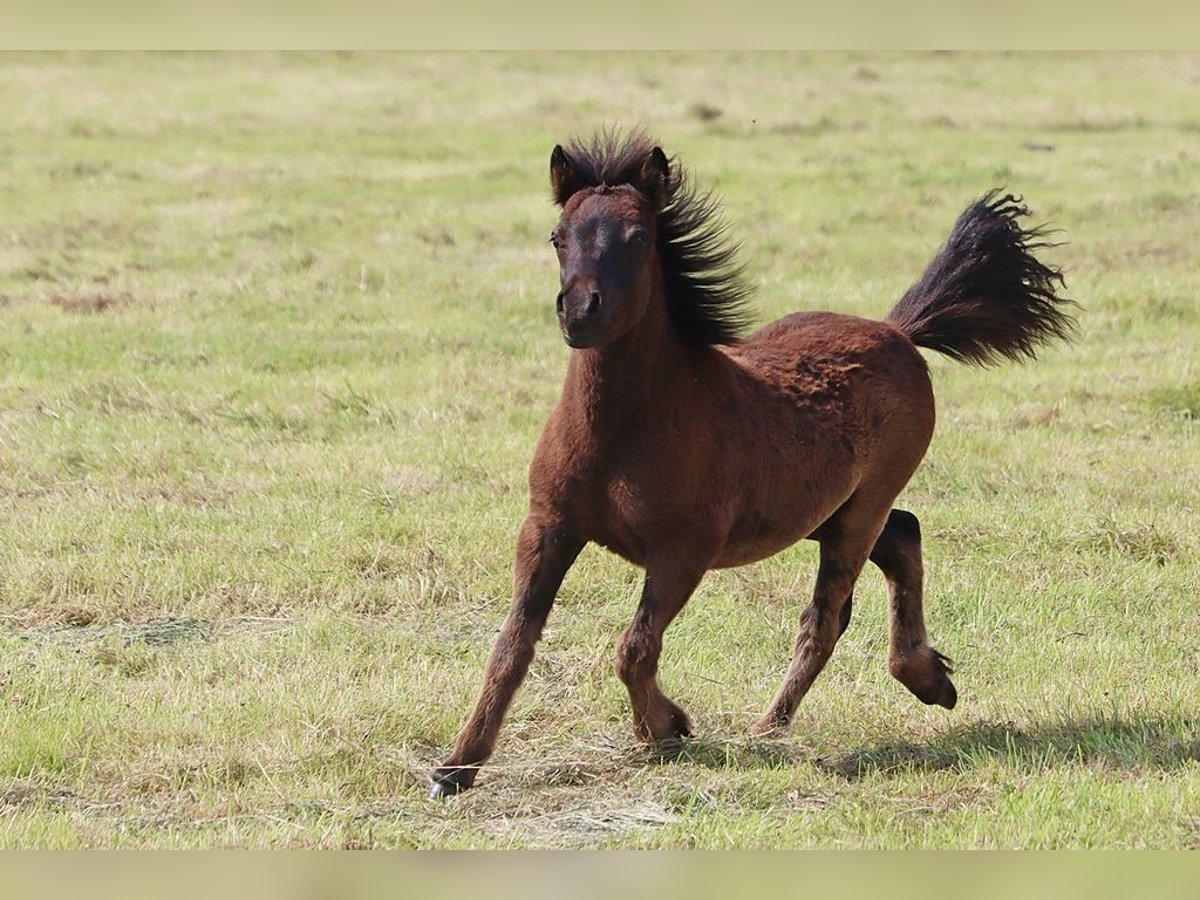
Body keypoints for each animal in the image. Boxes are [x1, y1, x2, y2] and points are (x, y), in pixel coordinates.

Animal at [429, 132, 1070, 796]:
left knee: (827, 616)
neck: (625, 432)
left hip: (861, 506)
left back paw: (774, 727)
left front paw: (668, 728)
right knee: (902, 537)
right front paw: (457, 765)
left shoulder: (684, 551)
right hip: (818, 510)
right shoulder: (548, 528)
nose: (580, 312)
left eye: (638, 237)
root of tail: (898, 330)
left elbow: (634, 648)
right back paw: (927, 677)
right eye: (558, 236)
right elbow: (512, 644)